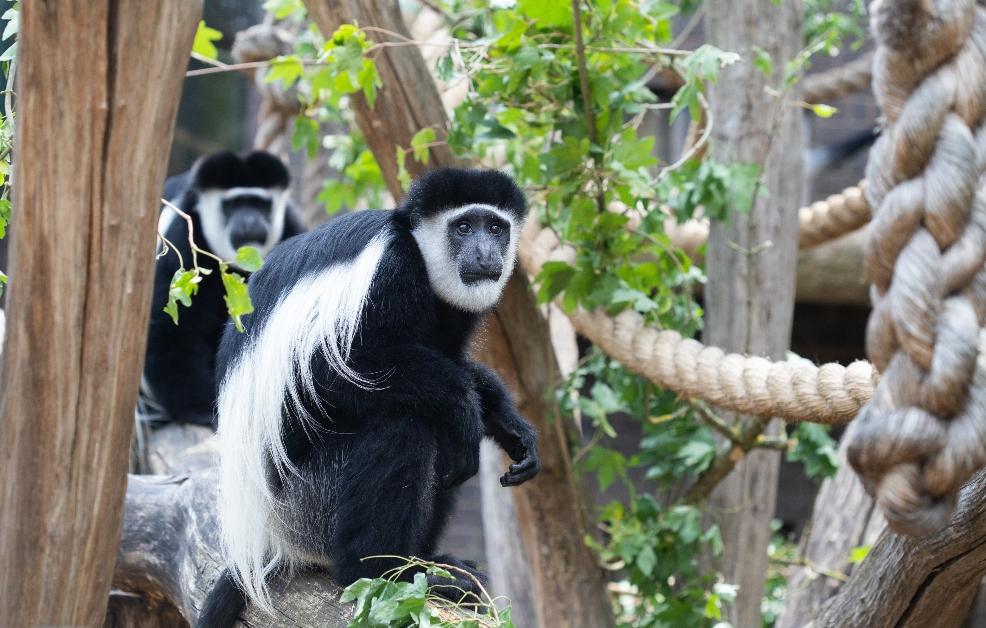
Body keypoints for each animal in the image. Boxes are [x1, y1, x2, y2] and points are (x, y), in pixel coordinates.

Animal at [138, 150, 305, 428]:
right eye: (232, 205)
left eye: (261, 204)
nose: (249, 221)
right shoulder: (180, 239)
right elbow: (173, 330)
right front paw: (200, 410)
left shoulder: (292, 229)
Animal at [197, 168, 541, 627]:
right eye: (464, 226)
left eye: (497, 228)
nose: (486, 254)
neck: (417, 248)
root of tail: (266, 539)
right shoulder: (389, 273)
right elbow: (335, 371)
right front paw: (465, 405)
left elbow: (453, 364)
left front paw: (509, 423)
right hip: (308, 507)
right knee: (404, 425)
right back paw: (386, 573)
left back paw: (433, 565)